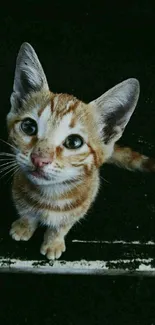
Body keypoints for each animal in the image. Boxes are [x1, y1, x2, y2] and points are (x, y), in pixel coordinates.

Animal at [5, 43, 154, 260]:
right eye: (29, 127)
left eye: (74, 142)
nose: (39, 159)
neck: (50, 197)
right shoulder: (18, 190)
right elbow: (26, 213)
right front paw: (24, 227)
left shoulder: (83, 203)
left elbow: (62, 225)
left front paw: (53, 242)